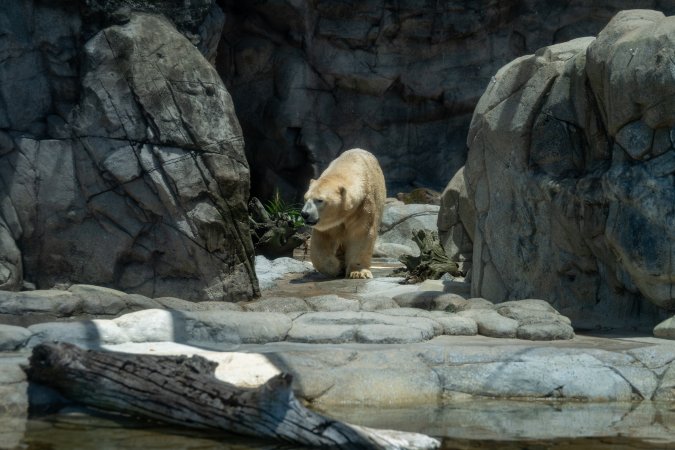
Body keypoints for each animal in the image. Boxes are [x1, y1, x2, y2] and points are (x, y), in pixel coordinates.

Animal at [301, 148, 386, 279]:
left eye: (319, 200)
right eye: (306, 198)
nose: (304, 214)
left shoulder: (363, 206)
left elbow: (361, 233)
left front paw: (358, 272)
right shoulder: (329, 222)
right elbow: (322, 239)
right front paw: (335, 267)